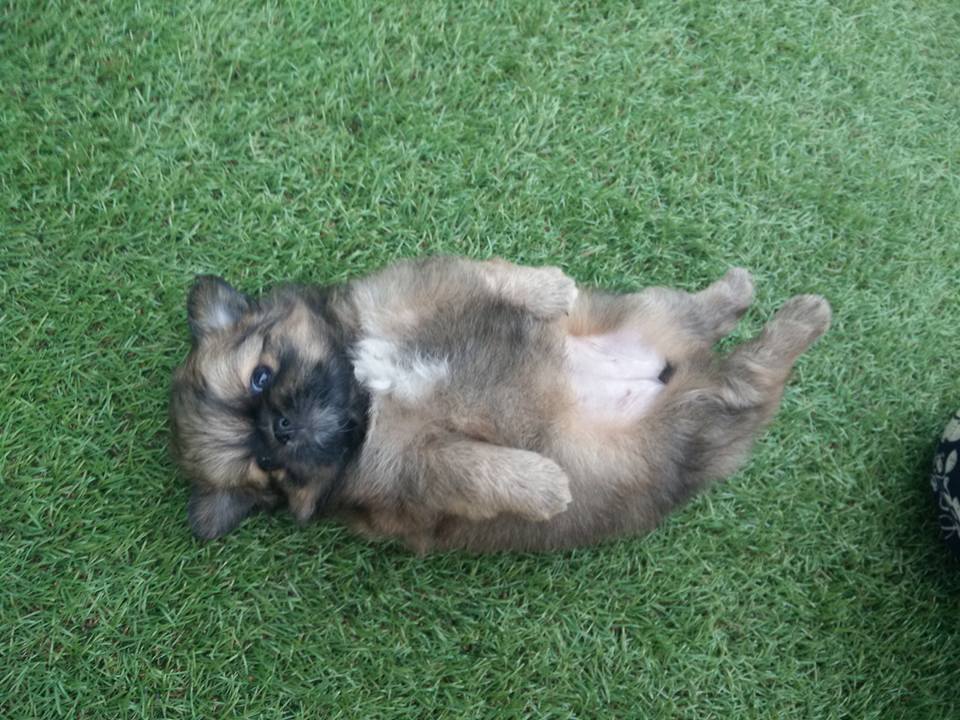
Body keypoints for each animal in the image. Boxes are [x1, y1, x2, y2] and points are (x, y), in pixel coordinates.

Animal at [170, 256, 830, 552]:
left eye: (260, 378)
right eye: (266, 465)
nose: (281, 428)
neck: (367, 391)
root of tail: (681, 370)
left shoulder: (413, 291)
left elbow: (489, 277)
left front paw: (551, 288)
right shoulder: (412, 466)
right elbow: (475, 468)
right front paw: (545, 487)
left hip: (650, 313)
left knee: (696, 313)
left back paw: (742, 291)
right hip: (695, 424)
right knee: (751, 380)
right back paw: (799, 321)